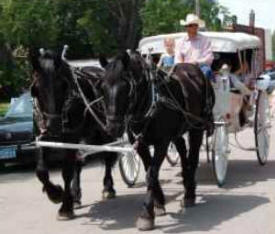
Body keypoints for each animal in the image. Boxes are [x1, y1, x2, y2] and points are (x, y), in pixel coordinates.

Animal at [30, 49, 118, 219]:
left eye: (62, 86)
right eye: (36, 89)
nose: (53, 126)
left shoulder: (70, 138)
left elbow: (66, 172)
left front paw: (65, 207)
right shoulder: (42, 138)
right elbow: (41, 171)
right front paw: (55, 194)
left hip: (104, 131)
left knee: (108, 158)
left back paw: (108, 188)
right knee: (79, 162)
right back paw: (76, 195)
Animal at [100, 51, 217, 230]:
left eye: (126, 88)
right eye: (103, 87)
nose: (113, 127)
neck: (149, 101)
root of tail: (196, 70)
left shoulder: (162, 142)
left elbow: (152, 174)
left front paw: (146, 214)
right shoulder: (140, 144)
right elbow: (149, 169)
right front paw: (159, 202)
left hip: (197, 126)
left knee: (193, 157)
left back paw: (189, 194)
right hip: (177, 131)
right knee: (183, 152)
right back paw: (187, 183)